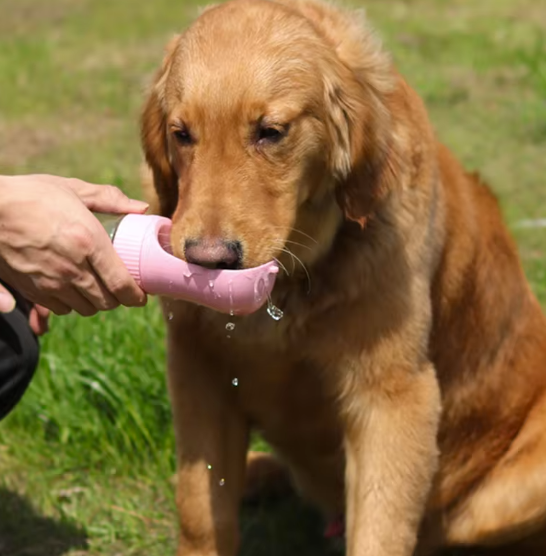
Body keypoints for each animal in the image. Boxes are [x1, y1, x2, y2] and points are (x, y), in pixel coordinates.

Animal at [138, 2, 544, 552]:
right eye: (181, 134)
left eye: (271, 131)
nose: (207, 260)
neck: (291, 283)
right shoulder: (197, 366)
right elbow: (201, 510)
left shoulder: (394, 395)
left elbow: (380, 528)